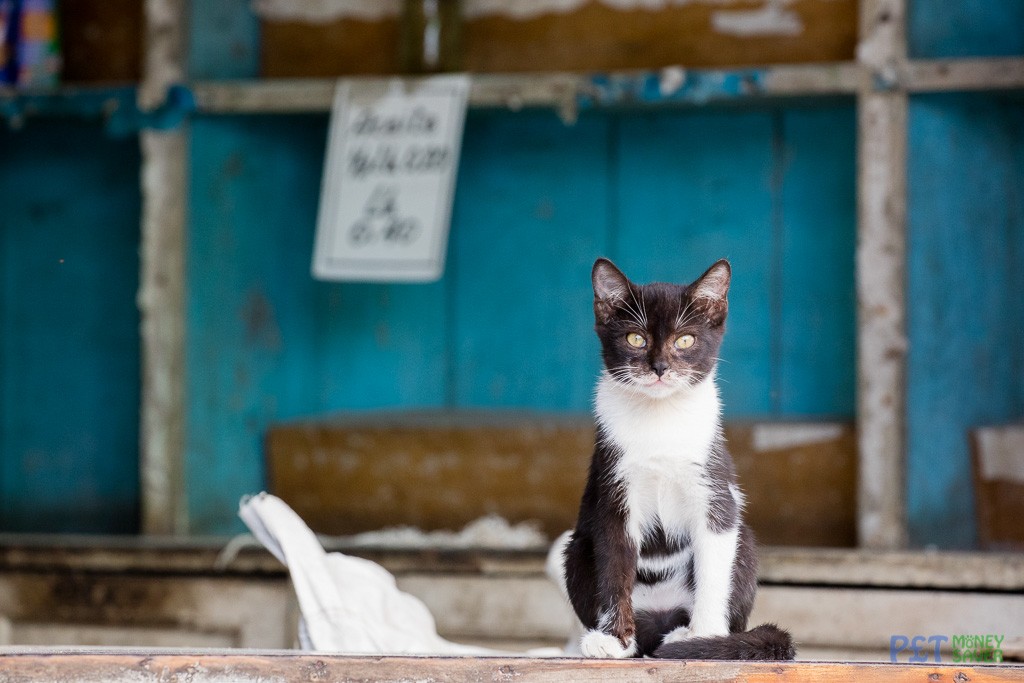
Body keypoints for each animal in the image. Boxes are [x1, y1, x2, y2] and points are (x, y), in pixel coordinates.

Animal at [557, 258, 794, 663]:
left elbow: (714, 563)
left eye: (685, 340)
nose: (660, 367)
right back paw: (630, 641)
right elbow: (614, 564)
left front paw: (707, 635)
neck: (660, 418)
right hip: (578, 548)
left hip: (743, 543)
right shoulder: (614, 488)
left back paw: (693, 636)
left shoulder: (713, 485)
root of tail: (661, 616)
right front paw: (614, 639)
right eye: (635, 338)